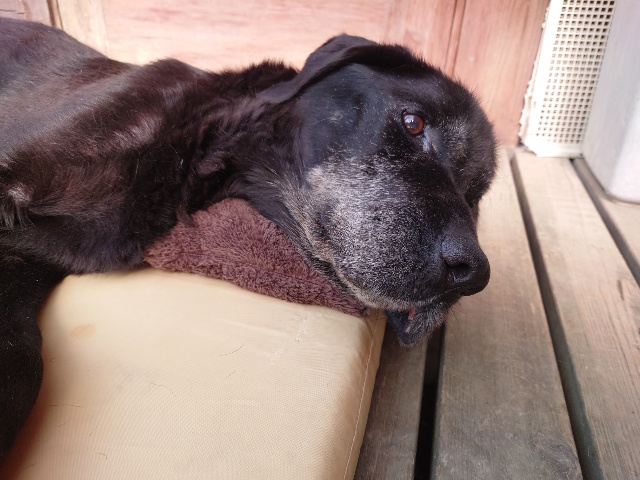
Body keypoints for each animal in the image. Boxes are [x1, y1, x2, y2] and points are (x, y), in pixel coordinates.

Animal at [0, 17, 496, 457]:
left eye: (475, 196)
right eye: (413, 123)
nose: (473, 274)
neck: (200, 147)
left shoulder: (35, 256)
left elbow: (23, 357)